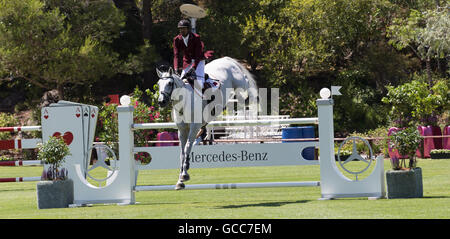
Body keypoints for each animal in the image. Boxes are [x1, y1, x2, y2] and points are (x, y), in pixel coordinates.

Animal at [156, 57, 256, 190]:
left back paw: (249, 98)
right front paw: (180, 180)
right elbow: (182, 152)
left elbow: (187, 147)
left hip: (239, 84)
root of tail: (226, 59)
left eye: (170, 83)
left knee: (245, 88)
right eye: (158, 84)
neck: (184, 102)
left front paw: (184, 175)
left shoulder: (194, 127)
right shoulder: (182, 130)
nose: (161, 101)